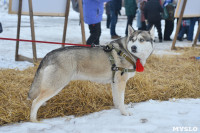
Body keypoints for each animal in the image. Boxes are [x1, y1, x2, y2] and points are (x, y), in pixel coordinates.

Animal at [27, 25, 155, 122]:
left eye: (141, 40)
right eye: (133, 40)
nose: (133, 47)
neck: (126, 52)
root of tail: (49, 54)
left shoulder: (115, 82)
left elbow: (117, 99)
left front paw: (117, 109)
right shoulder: (121, 82)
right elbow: (121, 99)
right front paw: (124, 112)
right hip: (56, 86)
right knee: (34, 102)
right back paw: (34, 121)